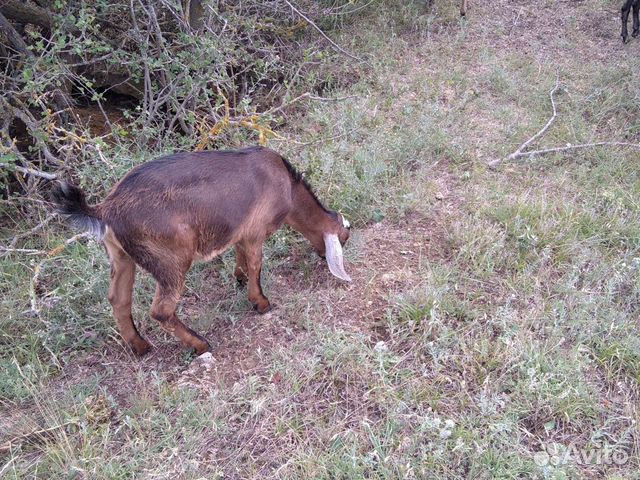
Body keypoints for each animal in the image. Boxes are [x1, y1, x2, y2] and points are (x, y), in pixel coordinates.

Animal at [50, 146, 352, 356]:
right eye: (344, 234)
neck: (287, 186)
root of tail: (107, 209)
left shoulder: (241, 233)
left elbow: (241, 258)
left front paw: (239, 278)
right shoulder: (255, 232)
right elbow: (256, 263)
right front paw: (261, 303)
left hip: (121, 257)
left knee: (118, 300)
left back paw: (141, 347)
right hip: (170, 260)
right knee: (161, 310)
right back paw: (200, 344)